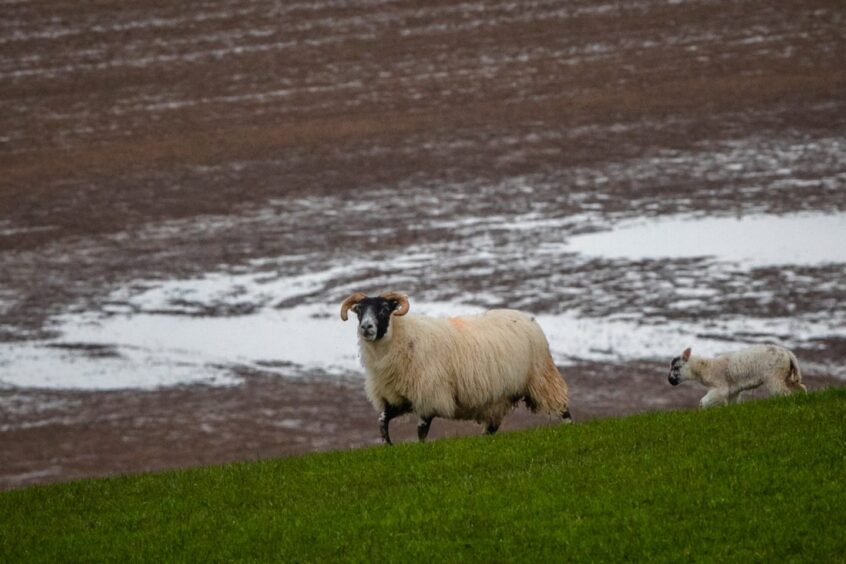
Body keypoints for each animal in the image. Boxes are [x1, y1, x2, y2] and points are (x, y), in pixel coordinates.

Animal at [342, 290, 572, 446]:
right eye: (359, 311)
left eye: (383, 309)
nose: (366, 327)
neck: (403, 337)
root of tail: (529, 319)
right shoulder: (398, 397)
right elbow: (382, 421)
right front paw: (388, 445)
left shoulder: (430, 395)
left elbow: (421, 431)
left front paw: (421, 447)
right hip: (500, 397)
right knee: (492, 427)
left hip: (542, 377)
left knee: (562, 407)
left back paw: (570, 428)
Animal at [668, 342, 808, 408]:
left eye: (676, 367)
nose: (670, 380)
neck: (706, 368)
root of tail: (788, 354)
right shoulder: (733, 391)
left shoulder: (720, 387)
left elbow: (704, 401)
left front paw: (702, 407)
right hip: (786, 375)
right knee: (801, 388)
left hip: (775, 375)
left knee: (784, 393)